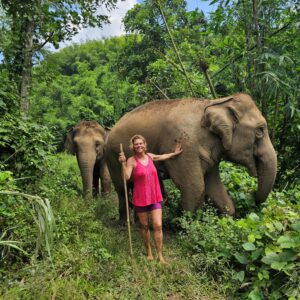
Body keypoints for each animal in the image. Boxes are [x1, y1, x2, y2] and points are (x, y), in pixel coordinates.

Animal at [105, 92, 276, 219]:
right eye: (260, 130)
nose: (253, 197)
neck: (216, 103)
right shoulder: (183, 143)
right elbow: (195, 187)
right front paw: (187, 227)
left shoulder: (211, 155)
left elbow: (214, 186)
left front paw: (227, 217)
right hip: (113, 156)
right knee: (121, 187)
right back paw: (125, 222)